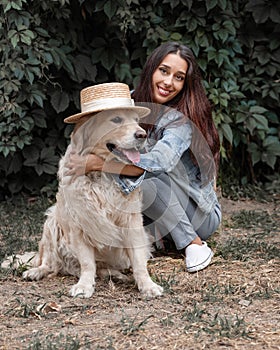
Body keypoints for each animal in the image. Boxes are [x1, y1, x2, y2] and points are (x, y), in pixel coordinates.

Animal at [23, 109, 164, 298]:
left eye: (136, 120)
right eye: (116, 119)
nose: (142, 135)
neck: (101, 172)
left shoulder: (131, 222)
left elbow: (139, 261)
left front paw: (148, 285)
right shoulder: (79, 223)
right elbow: (87, 263)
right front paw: (84, 286)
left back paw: (117, 275)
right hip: (51, 222)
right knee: (49, 262)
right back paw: (36, 271)